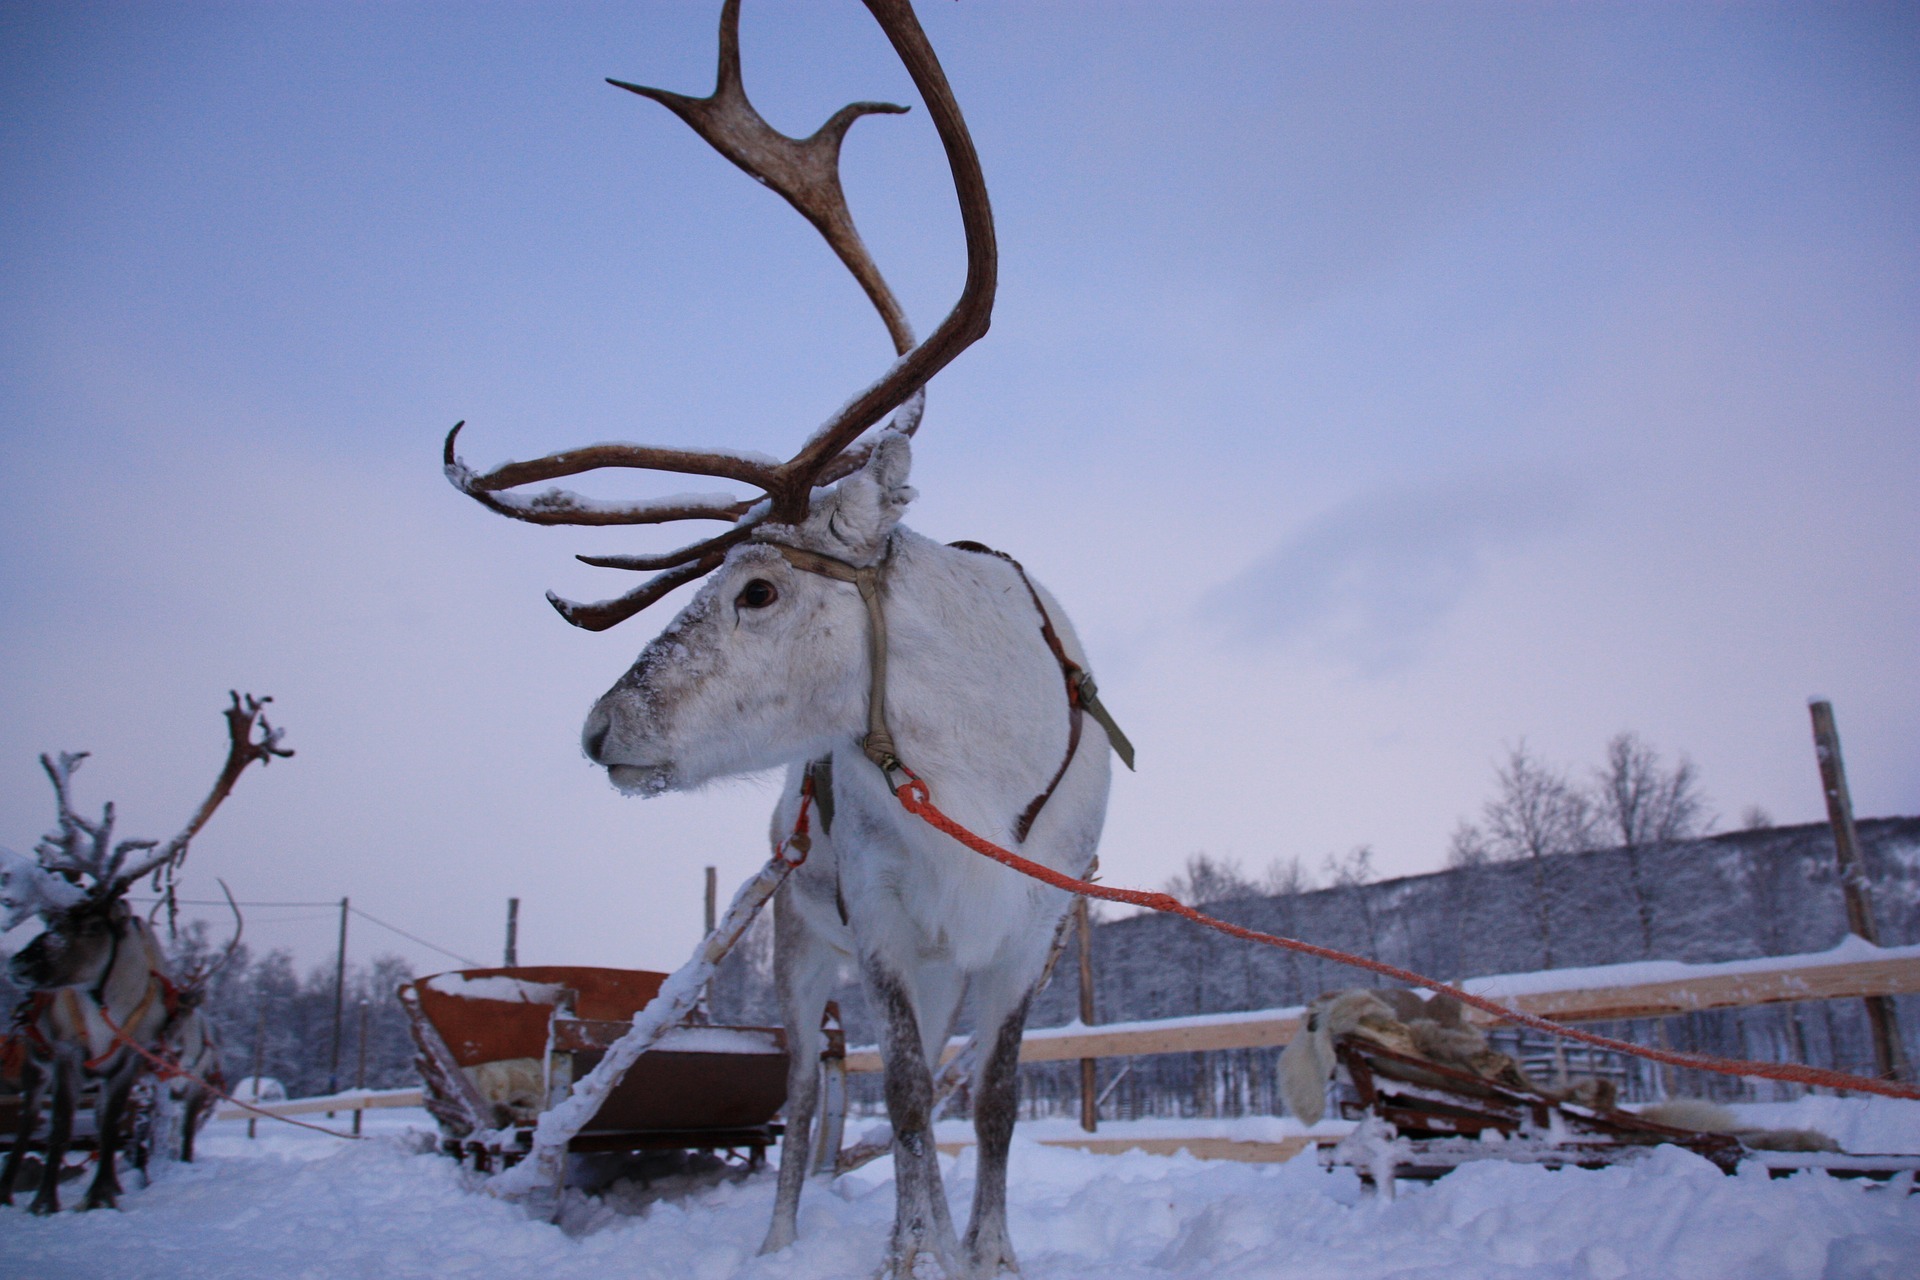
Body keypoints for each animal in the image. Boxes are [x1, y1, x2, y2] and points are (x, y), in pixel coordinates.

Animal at [0, 693, 289, 1213]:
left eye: (93, 924)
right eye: (51, 922)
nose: (19, 963)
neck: (106, 1009)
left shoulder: (138, 1065)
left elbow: (115, 1123)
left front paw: (101, 1196)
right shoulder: (68, 1054)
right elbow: (61, 1128)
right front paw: (48, 1202)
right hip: (37, 1064)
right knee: (33, 1121)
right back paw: (13, 1188)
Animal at [442, 3, 1130, 1274]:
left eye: (757, 587)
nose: (601, 724)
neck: (979, 755)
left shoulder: (1027, 928)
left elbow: (994, 1099)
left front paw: (988, 1252)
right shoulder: (884, 926)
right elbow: (897, 1092)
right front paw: (909, 1254)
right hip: (796, 947)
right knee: (810, 1091)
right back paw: (775, 1241)